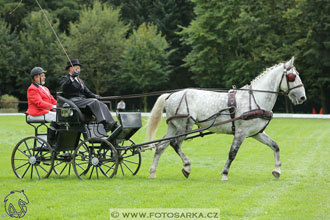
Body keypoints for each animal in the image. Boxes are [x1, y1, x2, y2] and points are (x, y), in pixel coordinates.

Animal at [147, 56, 306, 180]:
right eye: (292, 76)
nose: (302, 97)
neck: (255, 98)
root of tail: (171, 95)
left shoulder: (256, 133)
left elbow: (275, 146)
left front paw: (277, 170)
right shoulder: (241, 133)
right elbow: (232, 153)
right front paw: (224, 173)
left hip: (173, 126)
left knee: (161, 146)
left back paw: (153, 172)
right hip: (185, 125)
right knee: (175, 144)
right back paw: (186, 167)